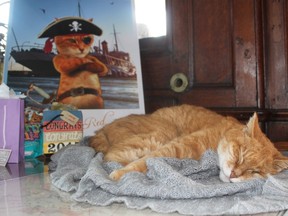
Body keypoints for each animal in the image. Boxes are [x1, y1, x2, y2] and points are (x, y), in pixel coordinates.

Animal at [89, 104, 286, 182]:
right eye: (239, 154)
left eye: (255, 171)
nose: (233, 175)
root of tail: (101, 130)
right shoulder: (177, 147)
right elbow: (142, 163)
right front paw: (120, 174)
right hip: (159, 135)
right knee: (108, 157)